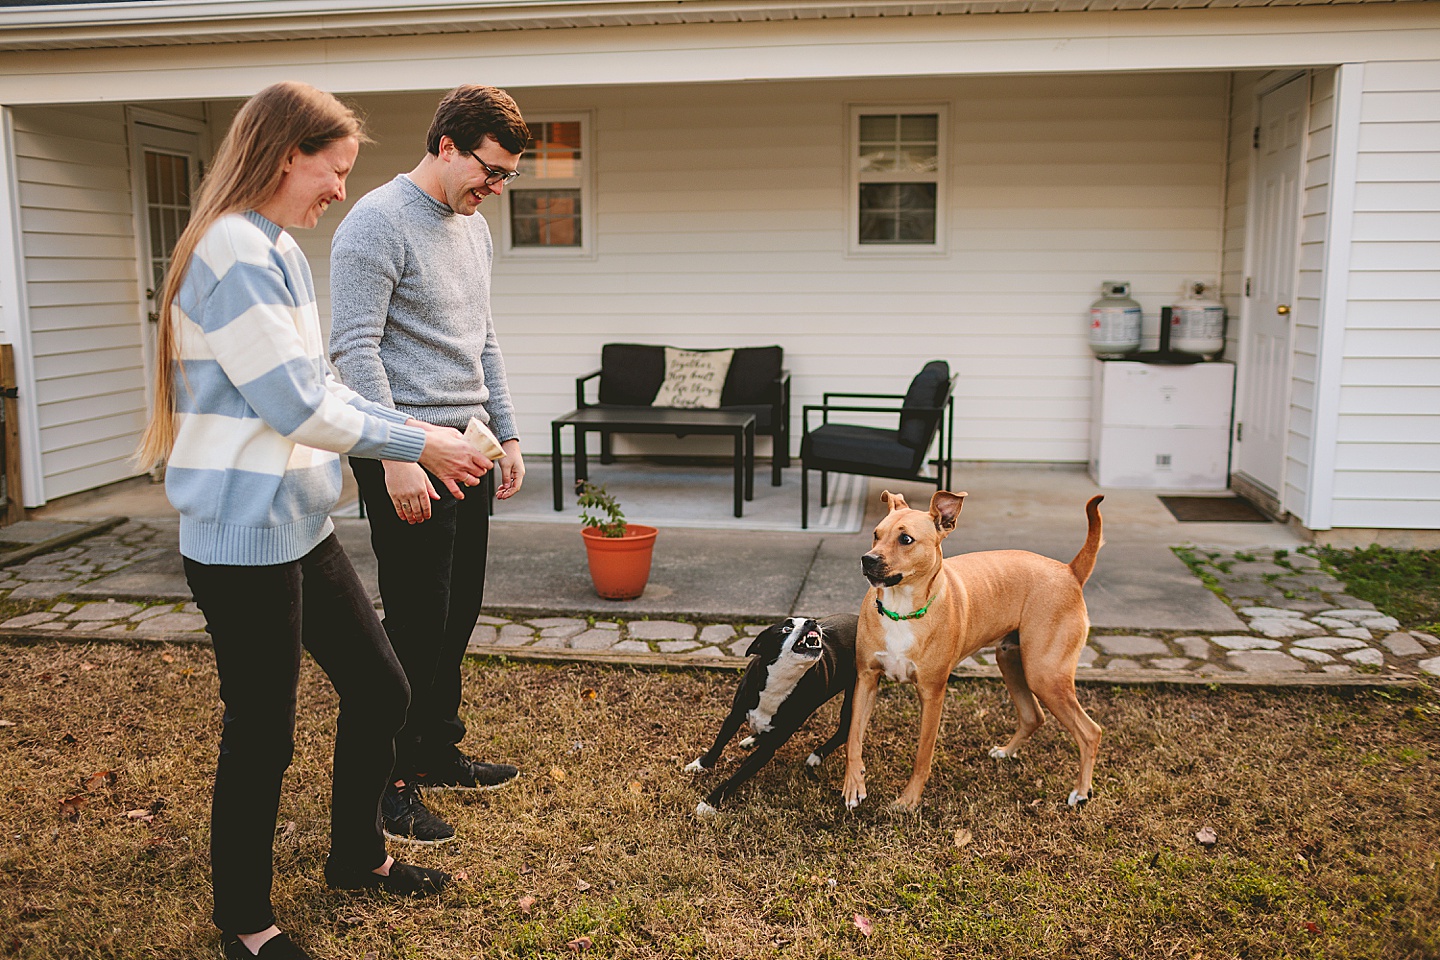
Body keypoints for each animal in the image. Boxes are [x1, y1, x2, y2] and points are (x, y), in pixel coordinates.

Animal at [682, 618, 852, 817]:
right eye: (786, 627)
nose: (812, 622)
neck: (780, 678)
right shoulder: (735, 715)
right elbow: (719, 743)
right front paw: (701, 764)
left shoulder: (769, 748)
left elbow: (738, 775)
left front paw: (710, 802)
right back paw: (752, 739)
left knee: (843, 731)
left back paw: (817, 756)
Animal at [840, 489, 1100, 811]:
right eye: (876, 535)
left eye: (906, 539)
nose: (867, 559)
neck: (901, 611)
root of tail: (1069, 571)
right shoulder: (866, 679)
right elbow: (853, 737)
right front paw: (854, 784)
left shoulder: (932, 693)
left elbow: (922, 755)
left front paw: (909, 800)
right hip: (1012, 662)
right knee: (1033, 716)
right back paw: (1006, 752)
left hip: (1045, 676)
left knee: (1090, 732)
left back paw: (1081, 791)